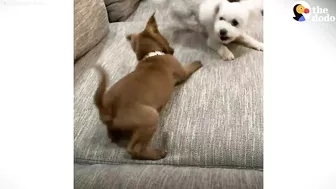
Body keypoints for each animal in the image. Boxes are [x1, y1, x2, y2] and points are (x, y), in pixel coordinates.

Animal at [92, 13, 202, 160]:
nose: (172, 50)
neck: (151, 55)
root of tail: (106, 108)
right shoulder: (182, 72)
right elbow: (190, 67)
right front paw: (198, 62)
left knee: (113, 135)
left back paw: (114, 136)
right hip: (151, 117)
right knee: (135, 149)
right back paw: (158, 153)